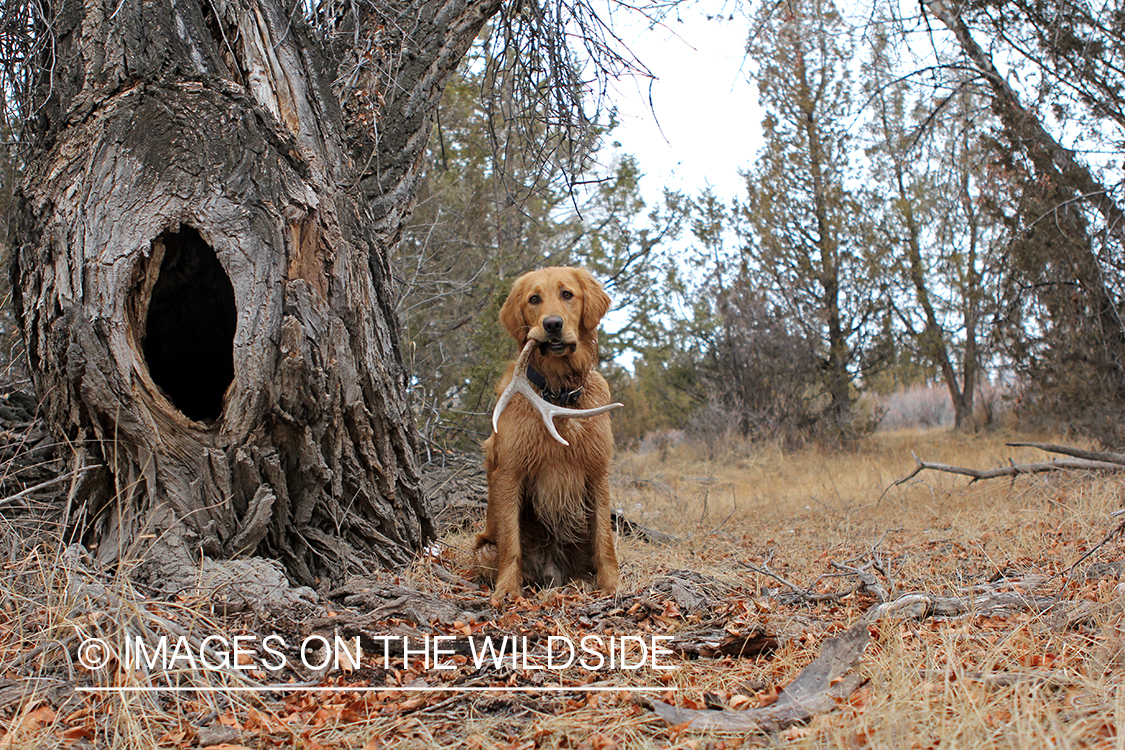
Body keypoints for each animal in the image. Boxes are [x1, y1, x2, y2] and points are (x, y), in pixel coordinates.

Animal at [477, 266, 625, 607]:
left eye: (567, 294)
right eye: (534, 299)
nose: (552, 324)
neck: (558, 398)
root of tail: (551, 568)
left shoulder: (598, 471)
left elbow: (604, 539)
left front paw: (612, 585)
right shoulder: (510, 471)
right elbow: (511, 544)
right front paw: (507, 590)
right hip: (483, 549)